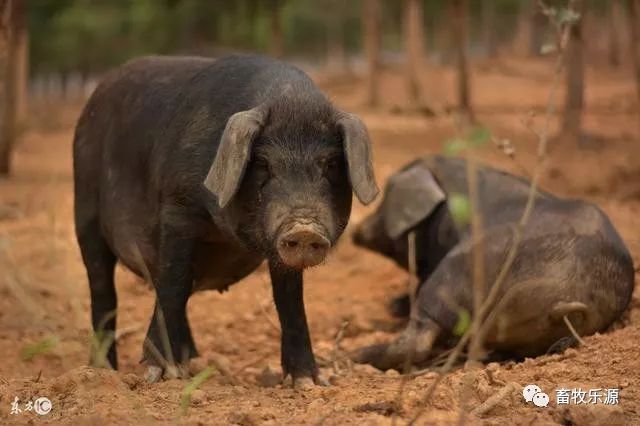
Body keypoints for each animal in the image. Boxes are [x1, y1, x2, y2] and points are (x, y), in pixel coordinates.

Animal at [72, 54, 378, 386]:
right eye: (263, 164)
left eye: (331, 164)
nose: (305, 227)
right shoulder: (177, 210)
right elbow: (174, 282)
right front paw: (159, 375)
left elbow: (290, 301)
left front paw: (308, 382)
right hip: (85, 212)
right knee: (103, 294)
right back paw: (103, 371)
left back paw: (188, 363)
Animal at [350, 155, 636, 372]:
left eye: (384, 201)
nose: (356, 231)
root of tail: (567, 297)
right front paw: (393, 304)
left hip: (456, 272)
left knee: (419, 337)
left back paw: (351, 357)